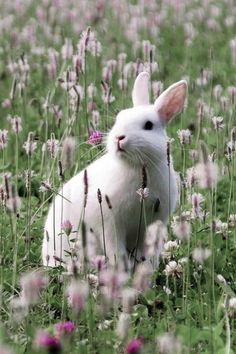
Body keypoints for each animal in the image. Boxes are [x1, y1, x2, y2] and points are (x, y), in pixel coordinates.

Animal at [42, 71, 186, 266]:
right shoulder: (110, 225)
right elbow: (115, 250)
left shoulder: (155, 223)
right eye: (119, 119)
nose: (119, 137)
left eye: (149, 125)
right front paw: (122, 268)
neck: (135, 166)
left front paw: (148, 267)